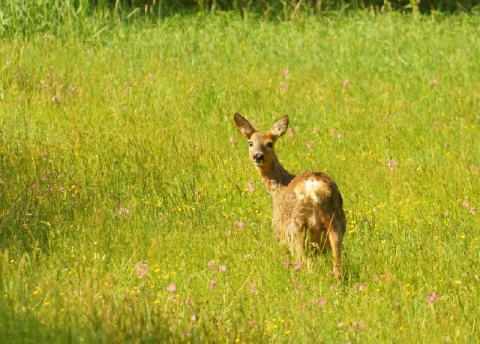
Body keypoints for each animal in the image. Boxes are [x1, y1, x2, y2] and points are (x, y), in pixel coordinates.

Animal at [232, 113, 344, 280]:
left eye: (270, 143)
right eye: (250, 143)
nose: (258, 156)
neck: (279, 188)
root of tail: (312, 188)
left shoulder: (278, 230)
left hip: (294, 225)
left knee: (304, 259)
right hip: (335, 221)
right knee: (336, 263)